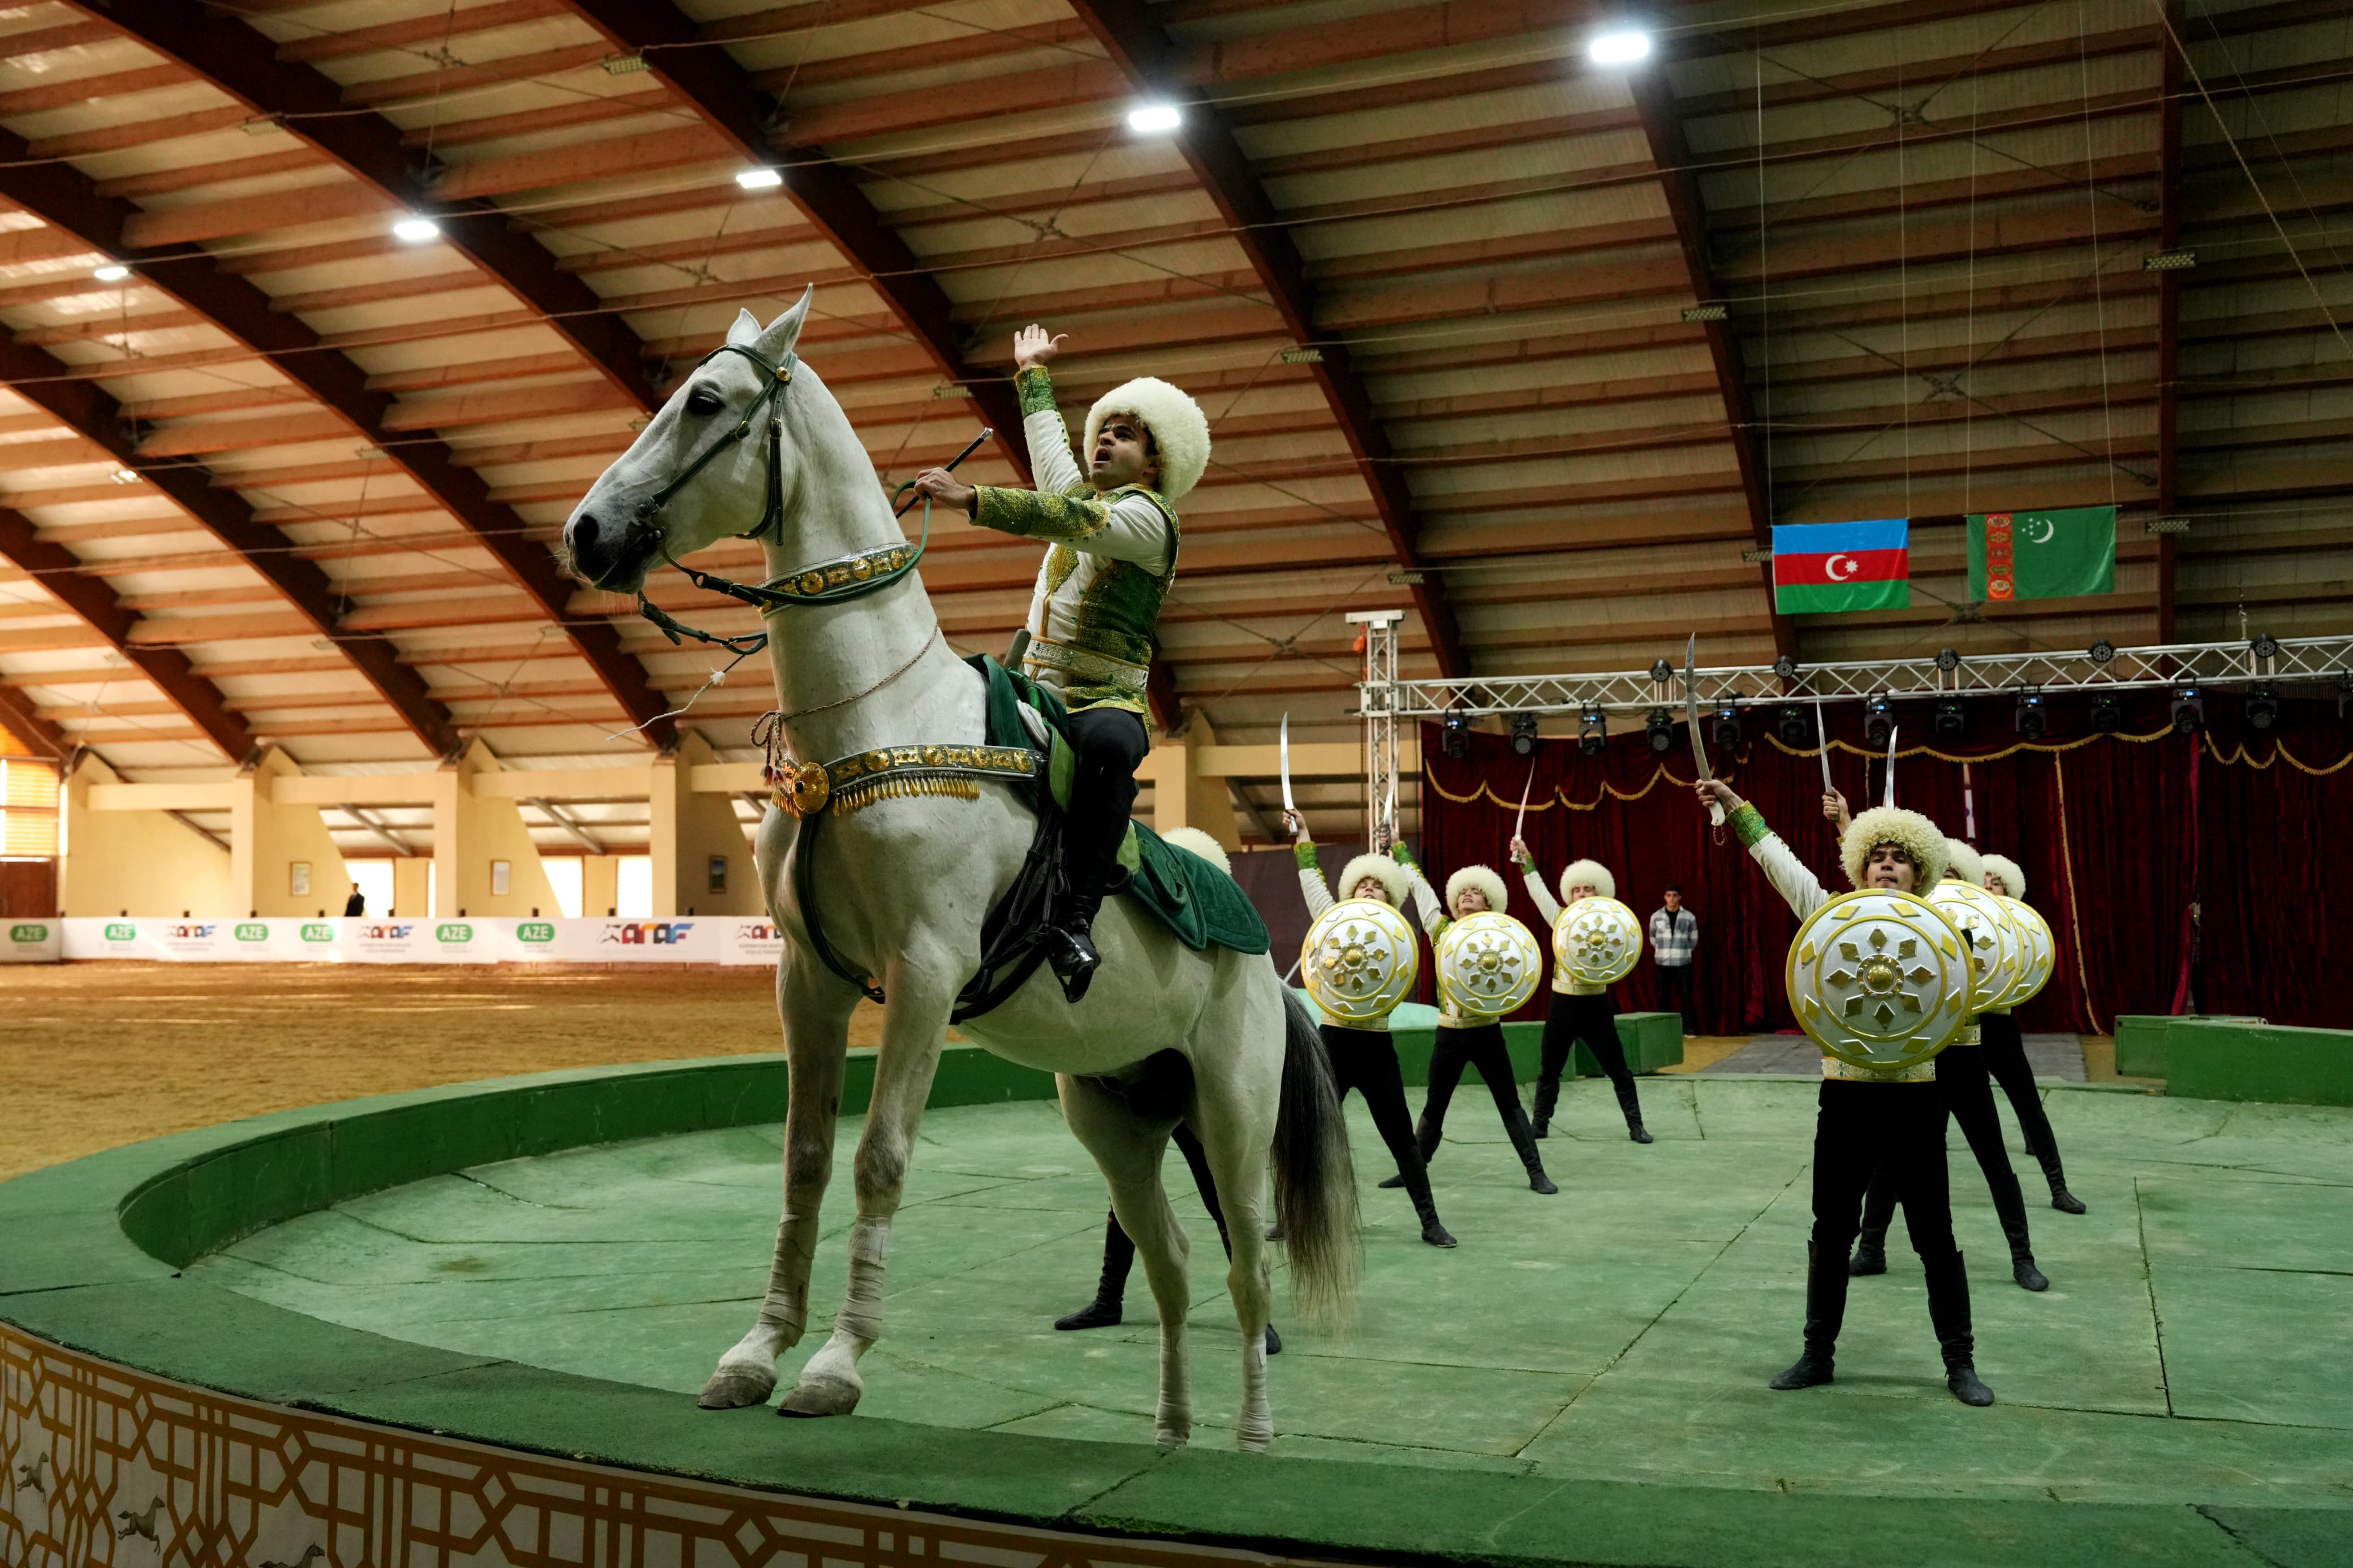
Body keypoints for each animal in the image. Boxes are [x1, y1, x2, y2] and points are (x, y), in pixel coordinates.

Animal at [562, 290, 1358, 1450]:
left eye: (705, 400)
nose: (586, 532)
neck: (875, 721)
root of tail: (1267, 965)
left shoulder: (927, 973)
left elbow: (880, 1156)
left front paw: (835, 1366)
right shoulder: (808, 978)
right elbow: (805, 1157)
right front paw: (755, 1353)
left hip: (1231, 1112)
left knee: (1246, 1262)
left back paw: (1251, 1439)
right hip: (1116, 1114)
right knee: (1167, 1260)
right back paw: (1171, 1435)